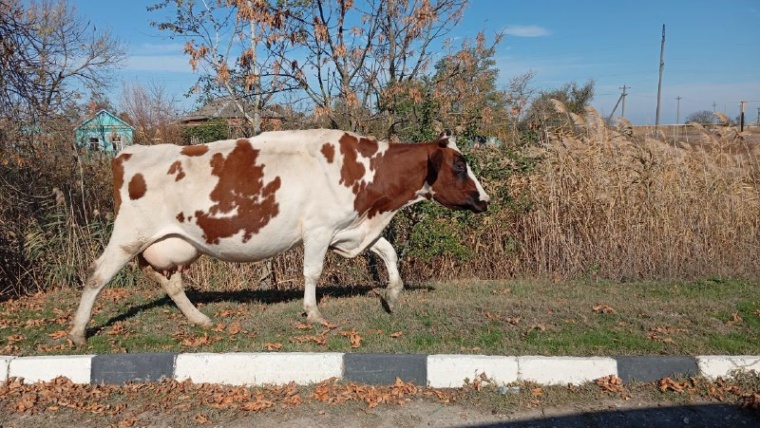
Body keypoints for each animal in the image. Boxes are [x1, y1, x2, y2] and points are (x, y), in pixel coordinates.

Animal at [68, 129, 489, 345]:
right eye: (460, 164)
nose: (485, 199)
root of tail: (127, 153)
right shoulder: (319, 229)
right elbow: (312, 272)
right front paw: (314, 314)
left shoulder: (349, 229)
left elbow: (389, 254)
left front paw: (392, 294)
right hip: (129, 235)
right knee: (96, 275)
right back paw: (76, 332)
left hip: (171, 245)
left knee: (169, 282)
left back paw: (199, 319)